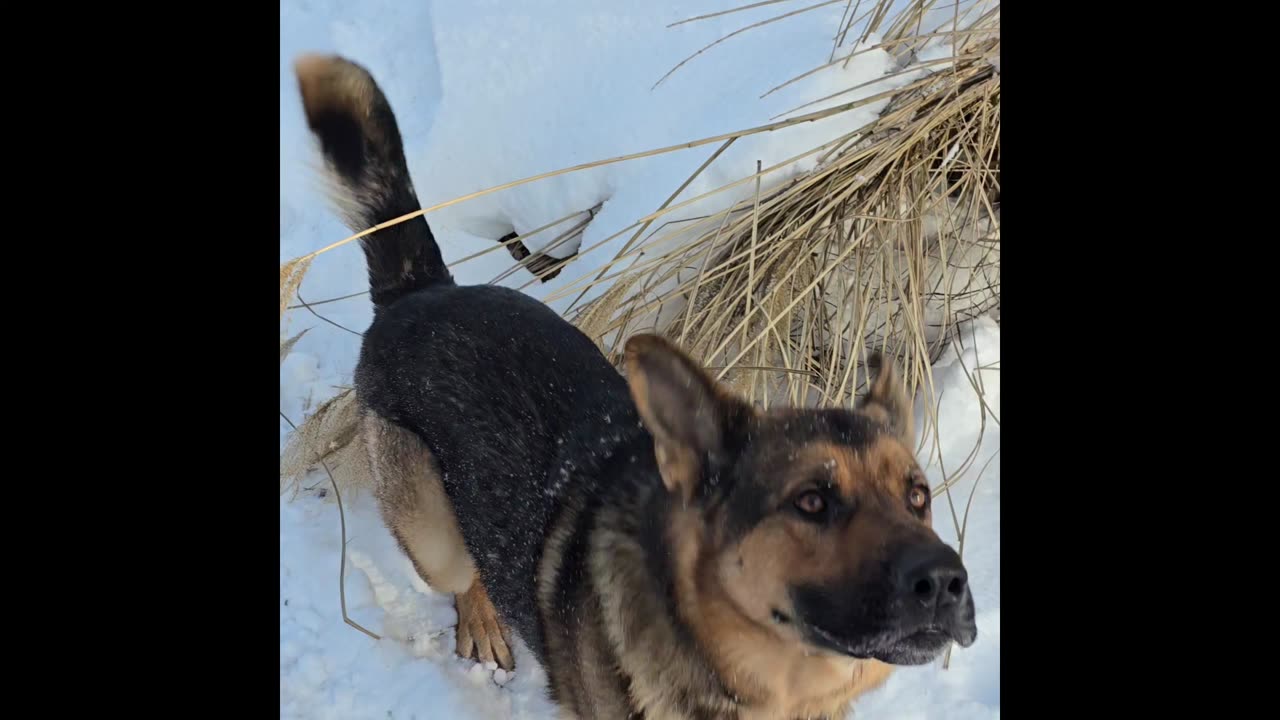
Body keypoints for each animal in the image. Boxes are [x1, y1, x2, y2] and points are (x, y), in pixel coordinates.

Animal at [294, 53, 977, 712]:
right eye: (812, 501)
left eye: (918, 496)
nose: (948, 583)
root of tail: (423, 290)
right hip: (431, 531)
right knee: (461, 570)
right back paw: (483, 623)